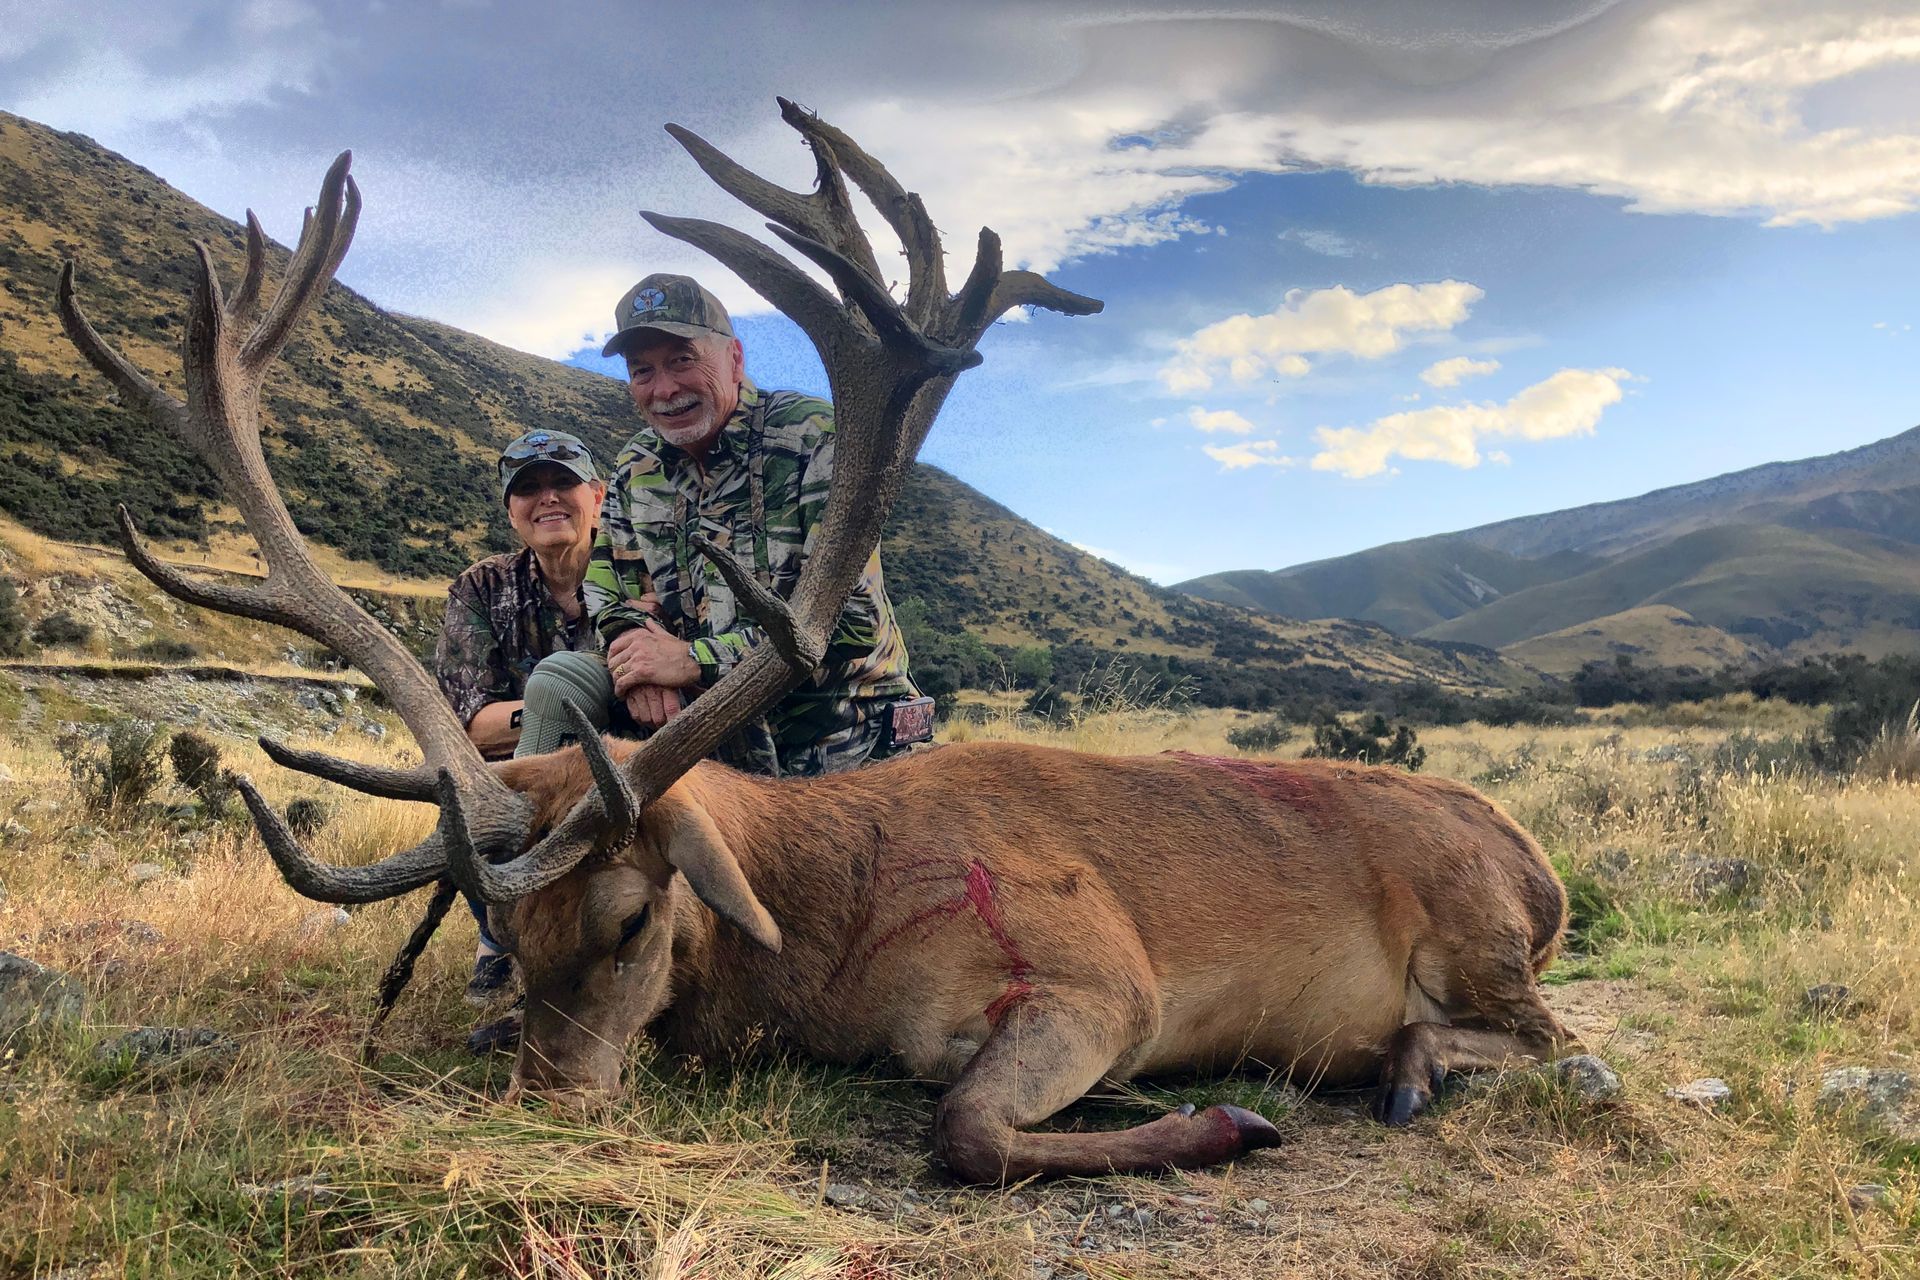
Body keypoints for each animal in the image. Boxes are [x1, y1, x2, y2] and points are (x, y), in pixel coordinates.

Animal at [56, 100, 1575, 1185]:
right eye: (502, 931)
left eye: (631, 918)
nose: (548, 1099)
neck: (825, 939)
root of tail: (1537, 861)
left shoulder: (1103, 977)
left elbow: (964, 1130)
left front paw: (1225, 1124)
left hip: (1480, 938)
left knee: (1554, 1040)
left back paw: (1404, 1065)